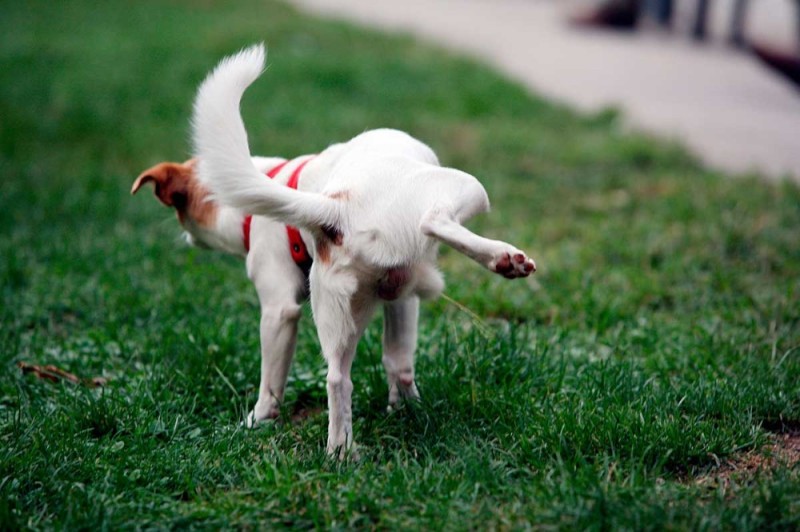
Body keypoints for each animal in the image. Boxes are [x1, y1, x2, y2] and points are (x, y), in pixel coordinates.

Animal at [134, 44, 536, 458]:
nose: (185, 239)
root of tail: (336, 207)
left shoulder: (384, 299)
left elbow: (393, 362)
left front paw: (405, 409)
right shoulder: (358, 300)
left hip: (335, 307)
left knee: (337, 379)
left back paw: (339, 451)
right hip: (463, 190)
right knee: (433, 221)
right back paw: (503, 258)